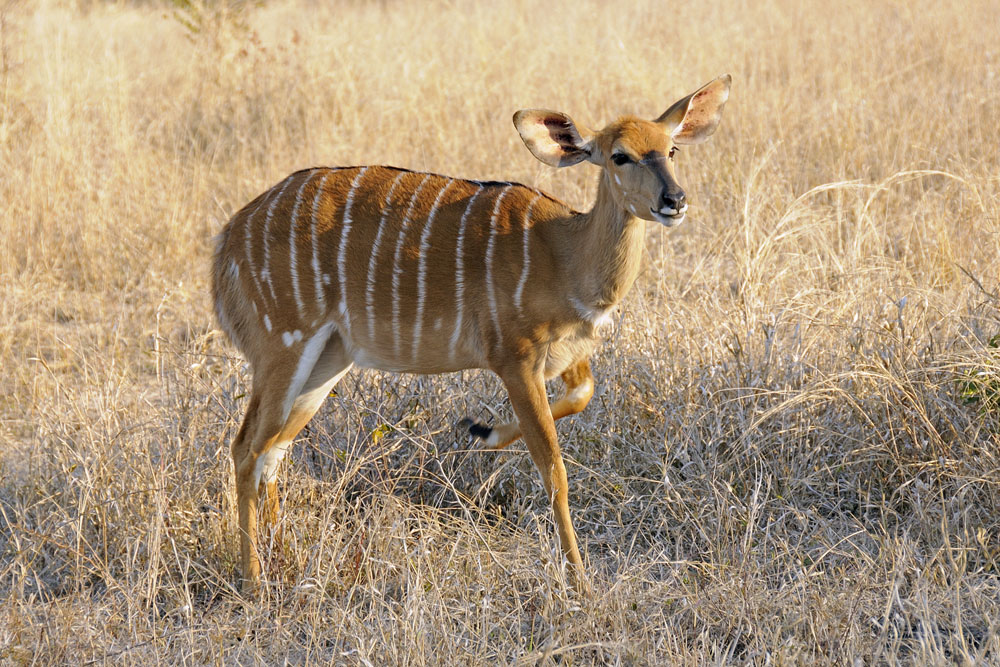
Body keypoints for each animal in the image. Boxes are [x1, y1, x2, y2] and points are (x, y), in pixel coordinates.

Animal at [212, 75, 731, 593]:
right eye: (619, 155)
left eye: (672, 148)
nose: (674, 201)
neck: (566, 257)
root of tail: (227, 241)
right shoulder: (514, 356)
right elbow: (554, 470)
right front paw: (579, 581)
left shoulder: (564, 357)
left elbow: (582, 394)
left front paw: (480, 429)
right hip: (283, 343)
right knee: (246, 447)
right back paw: (253, 578)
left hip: (329, 358)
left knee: (274, 449)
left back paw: (281, 559)